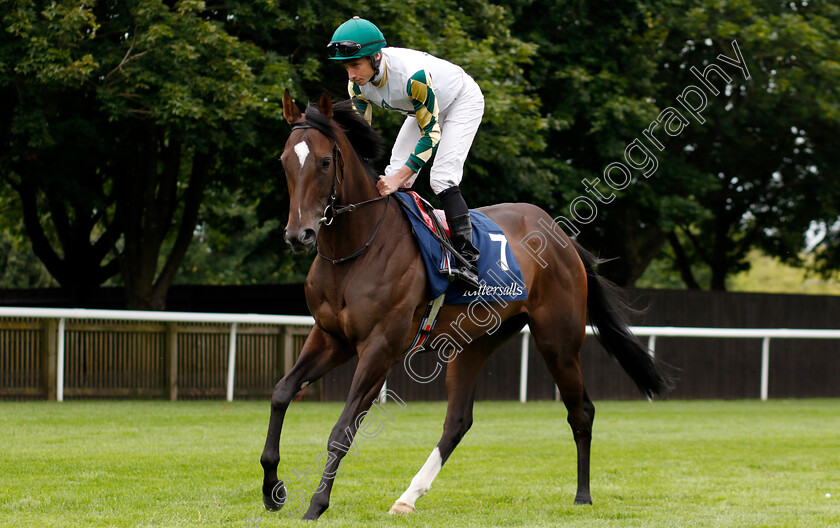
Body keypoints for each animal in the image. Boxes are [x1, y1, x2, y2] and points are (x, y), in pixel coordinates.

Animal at [260, 89, 672, 520]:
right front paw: (272, 489)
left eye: (325, 161)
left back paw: (583, 494)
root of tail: (562, 236)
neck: (355, 250)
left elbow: (343, 428)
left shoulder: (379, 347)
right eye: (284, 161)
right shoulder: (330, 337)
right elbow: (282, 392)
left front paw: (316, 504)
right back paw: (408, 497)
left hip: (557, 341)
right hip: (474, 343)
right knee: (458, 420)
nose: (299, 235)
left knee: (582, 411)